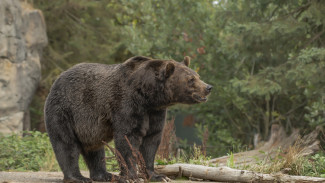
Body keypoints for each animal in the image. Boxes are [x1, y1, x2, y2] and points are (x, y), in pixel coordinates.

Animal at [43, 56, 210, 183]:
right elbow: (128, 138)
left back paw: (104, 175)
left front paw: (157, 175)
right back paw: (78, 177)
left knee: (95, 150)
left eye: (198, 76)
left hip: (89, 128)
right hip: (65, 111)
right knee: (66, 144)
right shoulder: (127, 104)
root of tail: (56, 81)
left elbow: (151, 140)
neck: (148, 96)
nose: (208, 87)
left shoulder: (155, 112)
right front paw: (131, 175)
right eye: (191, 79)